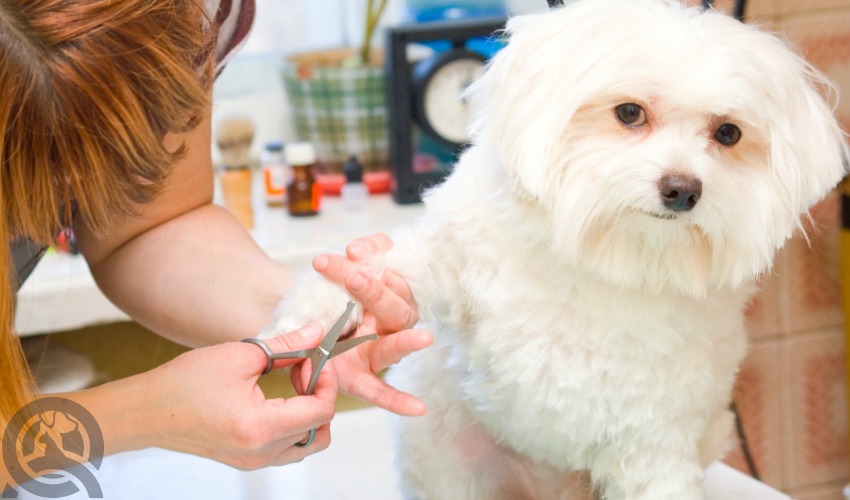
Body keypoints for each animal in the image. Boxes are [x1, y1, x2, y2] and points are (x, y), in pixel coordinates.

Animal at [264, 1, 840, 498]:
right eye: (629, 112)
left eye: (727, 133)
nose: (682, 189)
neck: (605, 255)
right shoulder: (458, 258)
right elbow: (392, 272)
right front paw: (312, 315)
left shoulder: (653, 440)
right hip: (451, 462)